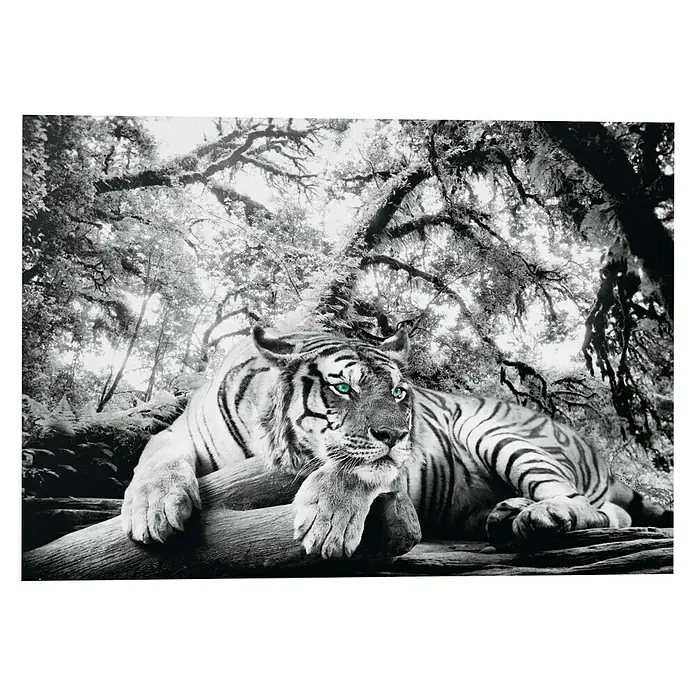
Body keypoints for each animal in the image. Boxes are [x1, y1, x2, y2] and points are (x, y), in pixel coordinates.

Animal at [121, 326, 673, 558]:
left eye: (399, 392)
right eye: (344, 388)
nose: (397, 433)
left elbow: (356, 468)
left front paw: (326, 523)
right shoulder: (179, 432)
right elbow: (155, 455)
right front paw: (153, 508)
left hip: (499, 434)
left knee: (587, 507)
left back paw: (540, 517)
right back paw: (506, 513)